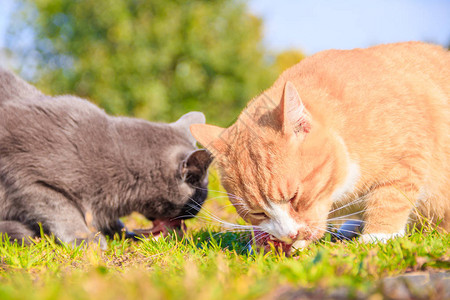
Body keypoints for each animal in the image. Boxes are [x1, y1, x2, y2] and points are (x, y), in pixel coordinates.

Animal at [0, 69, 212, 250]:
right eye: (198, 198)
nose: (195, 213)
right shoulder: (27, 176)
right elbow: (63, 210)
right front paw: (85, 238)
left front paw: (124, 233)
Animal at [191, 41, 450, 250]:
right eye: (257, 212)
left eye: (294, 197)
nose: (290, 234)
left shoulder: (409, 155)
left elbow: (391, 196)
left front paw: (378, 236)